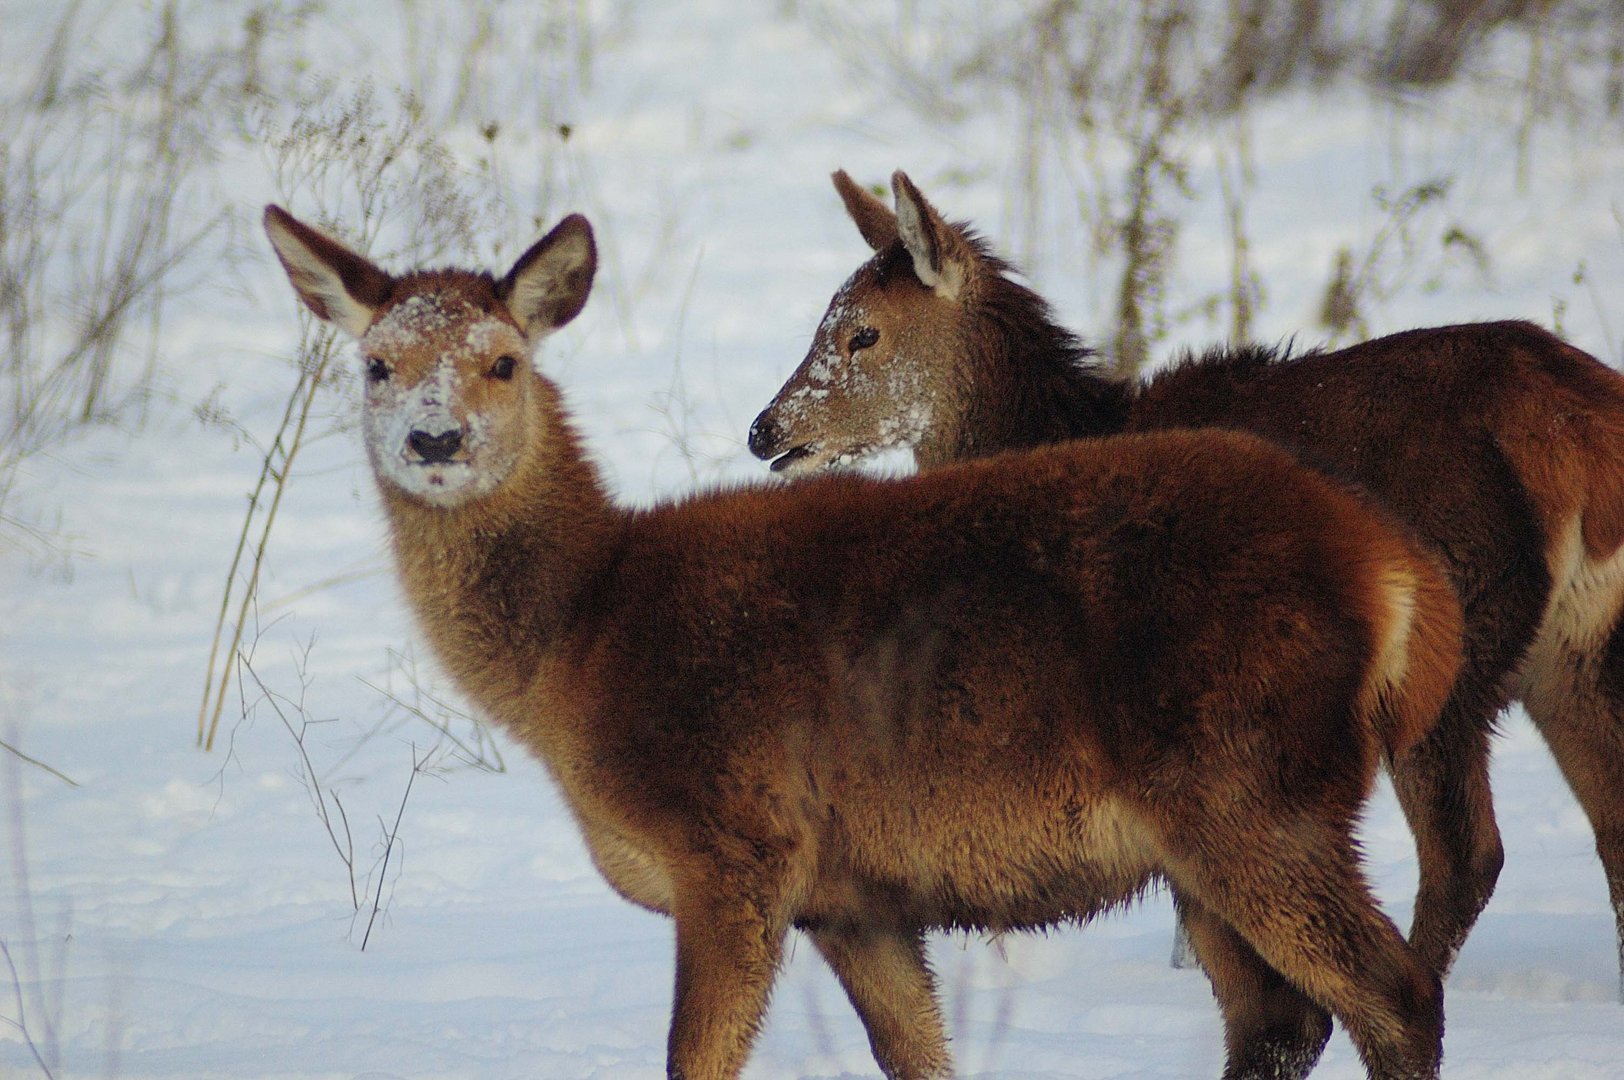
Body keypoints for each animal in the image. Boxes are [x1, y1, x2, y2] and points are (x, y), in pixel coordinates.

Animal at [259, 204, 1468, 1078]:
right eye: (375, 363)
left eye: (502, 362)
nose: (434, 440)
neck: (584, 641)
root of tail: (1396, 568)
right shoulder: (855, 897)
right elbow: (920, 1056)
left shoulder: (736, 842)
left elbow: (695, 1060)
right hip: (1216, 826)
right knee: (1283, 1022)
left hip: (1250, 788)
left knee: (1395, 995)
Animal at [750, 164, 1624, 1000]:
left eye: (863, 333)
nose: (764, 430)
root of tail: (1581, 434)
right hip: (1570, 651)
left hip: (1457, 640)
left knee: (1467, 856)